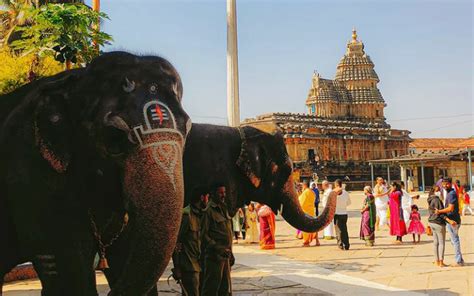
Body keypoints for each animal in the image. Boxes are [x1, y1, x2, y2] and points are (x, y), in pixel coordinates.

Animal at [1, 52, 193, 294]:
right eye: (114, 137)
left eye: (187, 129)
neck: (74, 80)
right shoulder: (28, 166)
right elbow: (65, 268)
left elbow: (126, 252)